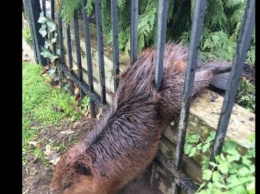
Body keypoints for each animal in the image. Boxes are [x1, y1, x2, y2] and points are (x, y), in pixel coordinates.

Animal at [50, 42, 232, 194]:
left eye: (68, 185)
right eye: (57, 180)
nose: (52, 191)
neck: (96, 158)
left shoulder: (107, 182)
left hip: (173, 91)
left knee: (201, 77)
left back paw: (225, 66)